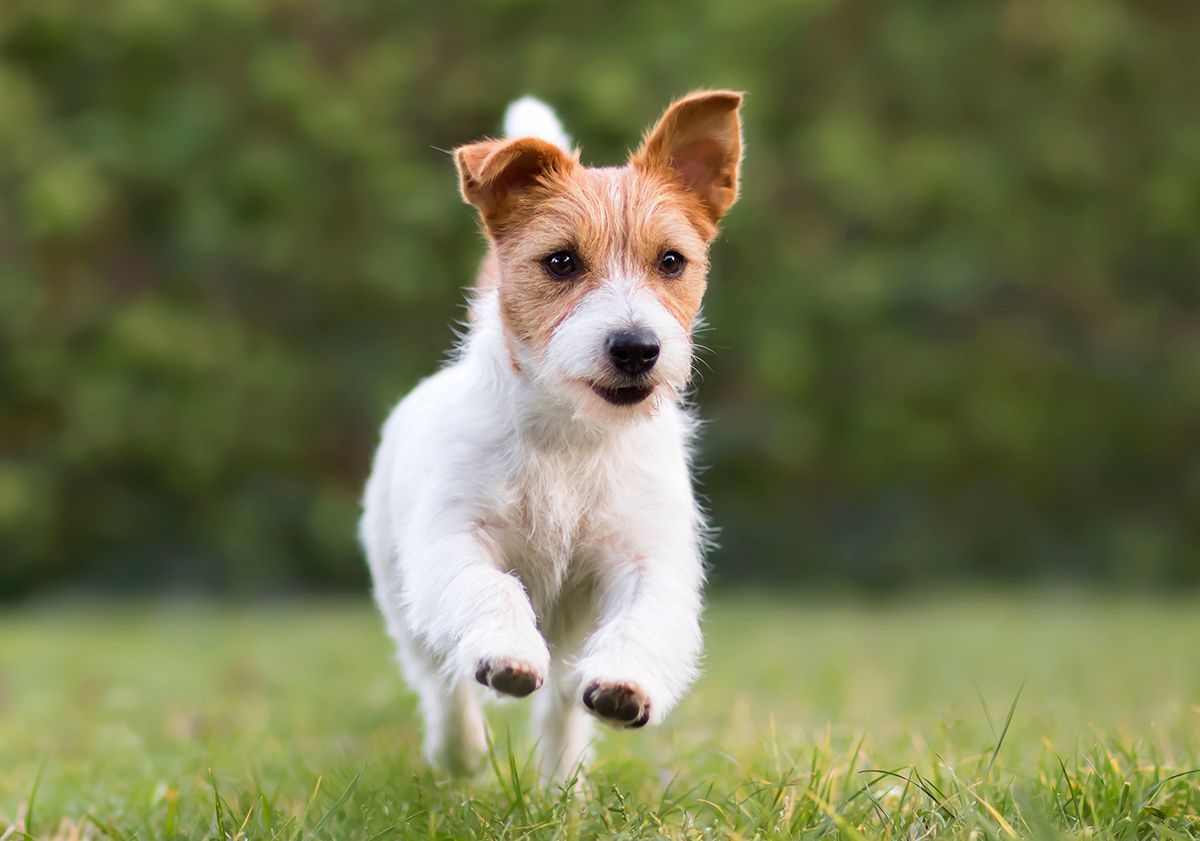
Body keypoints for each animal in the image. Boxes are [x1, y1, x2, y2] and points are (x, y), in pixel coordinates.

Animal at [360, 91, 744, 782]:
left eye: (671, 261)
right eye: (561, 261)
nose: (636, 347)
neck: (573, 437)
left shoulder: (644, 556)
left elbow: (640, 620)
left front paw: (625, 684)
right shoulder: (456, 540)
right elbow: (493, 590)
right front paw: (509, 656)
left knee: (564, 704)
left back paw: (562, 784)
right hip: (402, 593)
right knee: (440, 679)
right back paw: (460, 754)